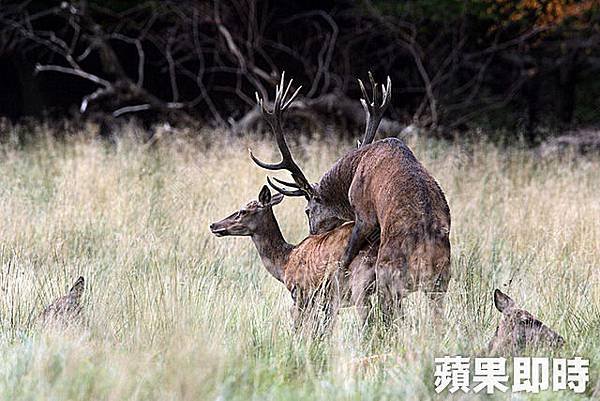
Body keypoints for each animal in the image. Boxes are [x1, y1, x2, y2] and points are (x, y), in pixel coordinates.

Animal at [211, 185, 378, 332]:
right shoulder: (326, 301)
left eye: (243, 211)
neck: (285, 262)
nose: (213, 225)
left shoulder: (300, 292)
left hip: (360, 280)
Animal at [248, 72, 450, 322]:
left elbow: (347, 252)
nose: (311, 238)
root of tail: (425, 254)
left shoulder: (363, 211)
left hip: (388, 274)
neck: (352, 172)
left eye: (307, 210)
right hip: (441, 279)